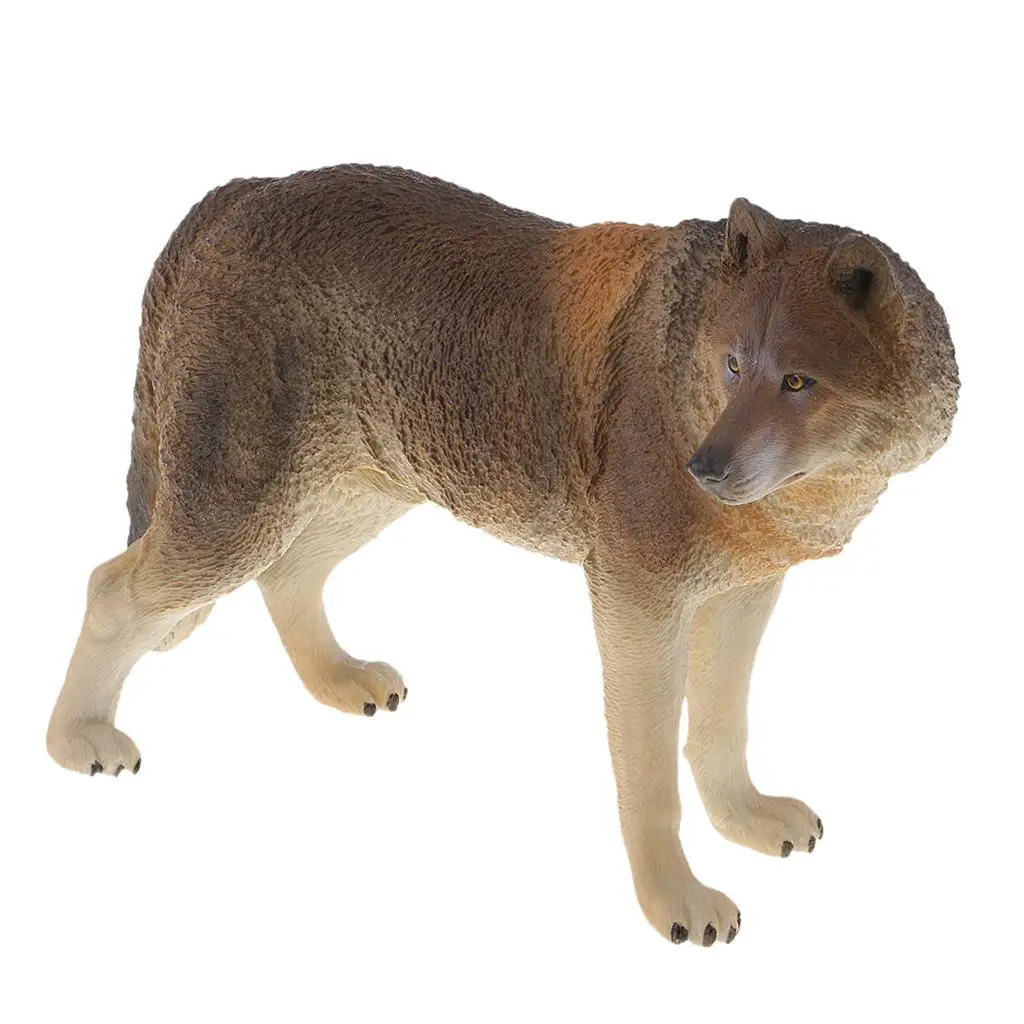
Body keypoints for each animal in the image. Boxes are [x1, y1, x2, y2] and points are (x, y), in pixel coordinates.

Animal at [47, 165, 958, 945]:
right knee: (110, 590)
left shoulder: (742, 594)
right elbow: (650, 778)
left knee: (287, 577)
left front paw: (743, 818)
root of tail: (239, 192)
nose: (703, 468)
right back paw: (76, 737)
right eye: (735, 366)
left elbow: (720, 732)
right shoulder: (639, 602)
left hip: (364, 488)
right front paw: (673, 897)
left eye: (798, 382)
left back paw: (339, 679)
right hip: (240, 514)